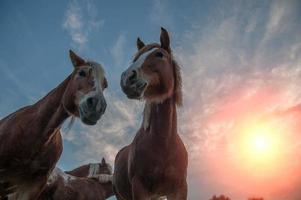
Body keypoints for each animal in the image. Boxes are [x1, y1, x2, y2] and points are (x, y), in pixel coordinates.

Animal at [113, 28, 188, 200]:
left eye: (159, 54)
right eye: (136, 57)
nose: (127, 78)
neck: (164, 142)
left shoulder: (179, 189)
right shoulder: (139, 188)